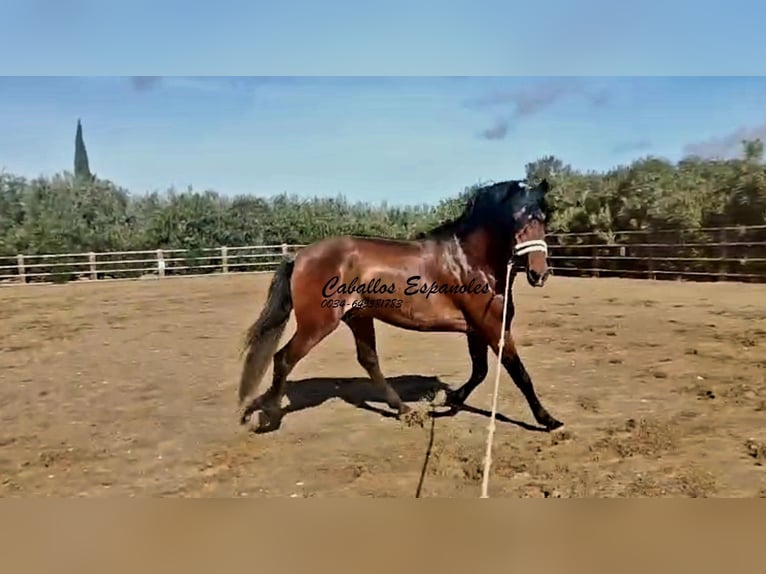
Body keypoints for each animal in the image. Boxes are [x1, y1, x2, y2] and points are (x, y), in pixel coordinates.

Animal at [237, 178, 563, 433]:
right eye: (516, 219)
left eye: (542, 218)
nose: (539, 274)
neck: (470, 261)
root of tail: (299, 257)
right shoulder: (492, 327)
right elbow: (519, 373)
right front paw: (548, 420)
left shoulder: (476, 329)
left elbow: (480, 371)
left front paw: (450, 400)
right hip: (318, 323)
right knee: (283, 359)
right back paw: (269, 416)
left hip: (358, 317)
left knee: (369, 361)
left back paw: (404, 410)